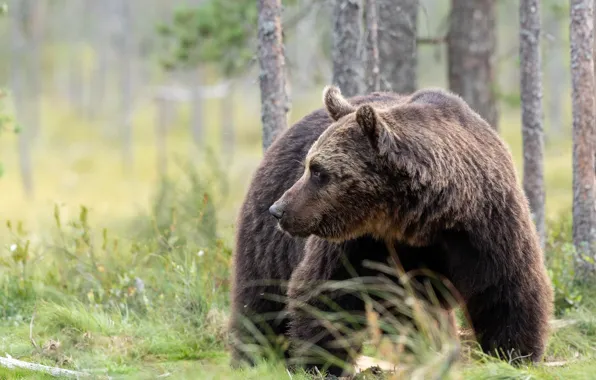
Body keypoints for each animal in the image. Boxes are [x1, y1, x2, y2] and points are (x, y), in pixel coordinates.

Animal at [229, 84, 556, 376]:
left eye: (319, 171)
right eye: (309, 166)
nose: (279, 209)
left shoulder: (485, 228)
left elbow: (506, 289)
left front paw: (513, 354)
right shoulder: (359, 243)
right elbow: (327, 291)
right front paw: (321, 363)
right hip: (269, 241)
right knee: (261, 297)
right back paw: (255, 356)